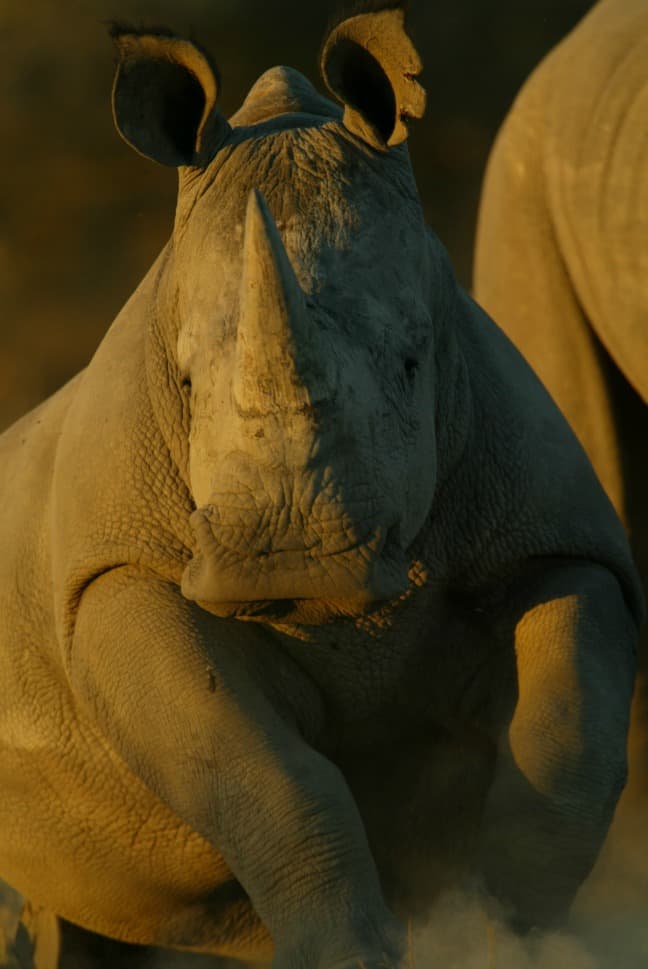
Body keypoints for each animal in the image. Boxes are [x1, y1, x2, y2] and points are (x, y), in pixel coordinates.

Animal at [0, 1, 644, 968]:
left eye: (415, 362)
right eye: (183, 382)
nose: (288, 559)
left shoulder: (555, 539)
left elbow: (564, 740)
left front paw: (506, 939)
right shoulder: (117, 573)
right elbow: (263, 773)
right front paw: (352, 954)